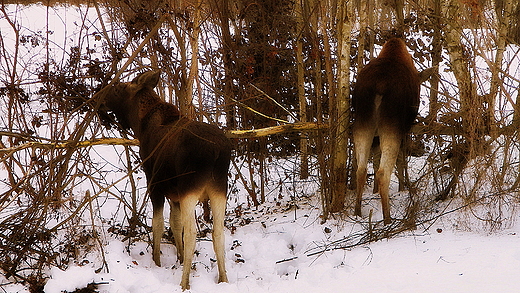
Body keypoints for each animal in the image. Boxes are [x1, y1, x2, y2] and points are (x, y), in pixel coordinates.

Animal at [94, 69, 232, 288]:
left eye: (118, 88)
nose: (99, 98)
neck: (139, 125)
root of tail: (217, 152)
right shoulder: (174, 193)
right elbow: (175, 223)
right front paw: (180, 258)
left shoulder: (155, 184)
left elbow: (158, 223)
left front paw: (157, 261)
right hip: (219, 189)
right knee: (218, 232)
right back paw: (223, 279)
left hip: (190, 188)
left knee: (192, 233)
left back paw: (184, 282)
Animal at [352, 38, 420, 224]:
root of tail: (379, 85)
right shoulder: (405, 129)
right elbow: (402, 159)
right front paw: (404, 187)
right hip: (392, 125)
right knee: (383, 171)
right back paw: (388, 217)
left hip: (362, 122)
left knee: (361, 169)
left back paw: (357, 211)